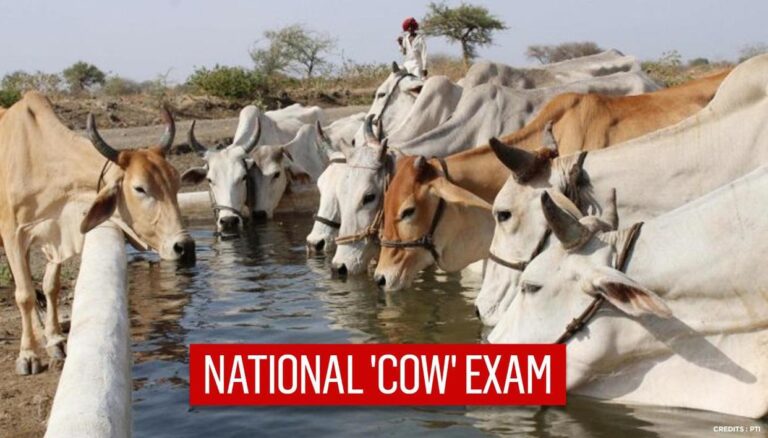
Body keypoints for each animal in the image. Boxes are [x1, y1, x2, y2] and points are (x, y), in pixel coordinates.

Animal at [0, 92, 194, 375]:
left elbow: (50, 287)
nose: (185, 247)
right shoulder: (13, 234)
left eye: (177, 182)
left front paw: (55, 340)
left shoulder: (56, 236)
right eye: (139, 188)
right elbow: (24, 295)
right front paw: (28, 355)